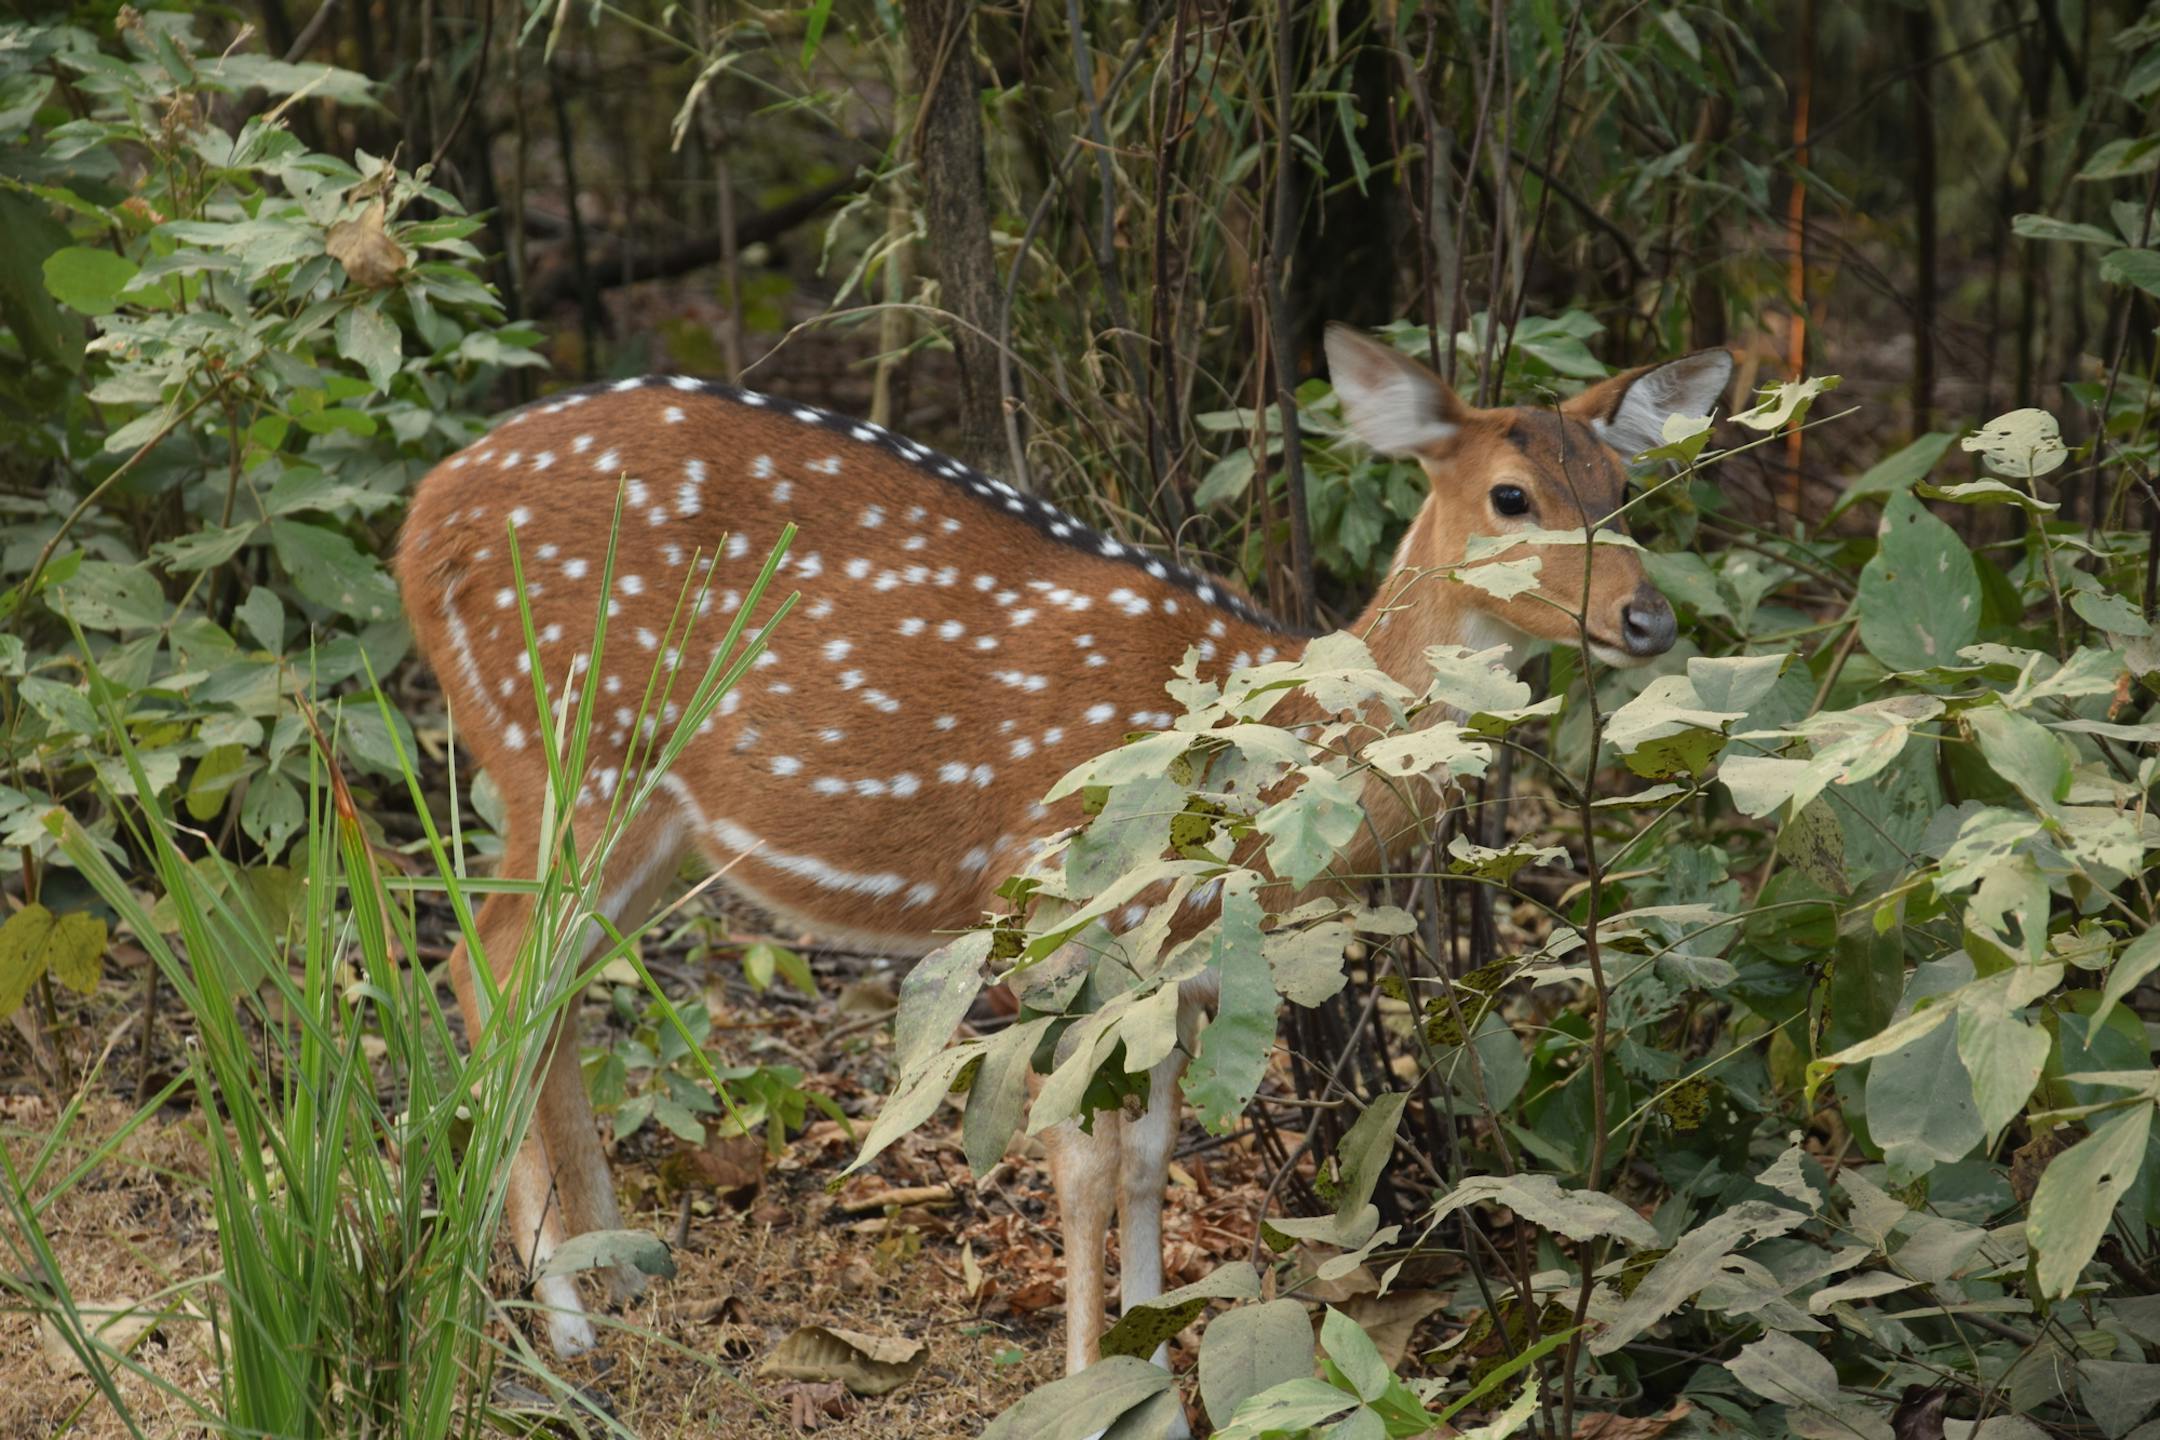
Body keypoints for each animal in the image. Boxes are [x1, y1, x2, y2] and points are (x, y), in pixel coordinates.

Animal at [394, 325, 1733, 1410]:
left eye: (1625, 487)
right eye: (1511, 495)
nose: (1649, 620)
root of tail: (420, 515)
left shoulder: (1179, 967)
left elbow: (1146, 1162)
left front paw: (1153, 1369)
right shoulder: (1054, 908)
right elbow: (1080, 1166)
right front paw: (1093, 1380)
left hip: (646, 811)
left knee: (552, 991)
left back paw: (614, 1274)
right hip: (559, 745)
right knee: (482, 972)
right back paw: (561, 1325)